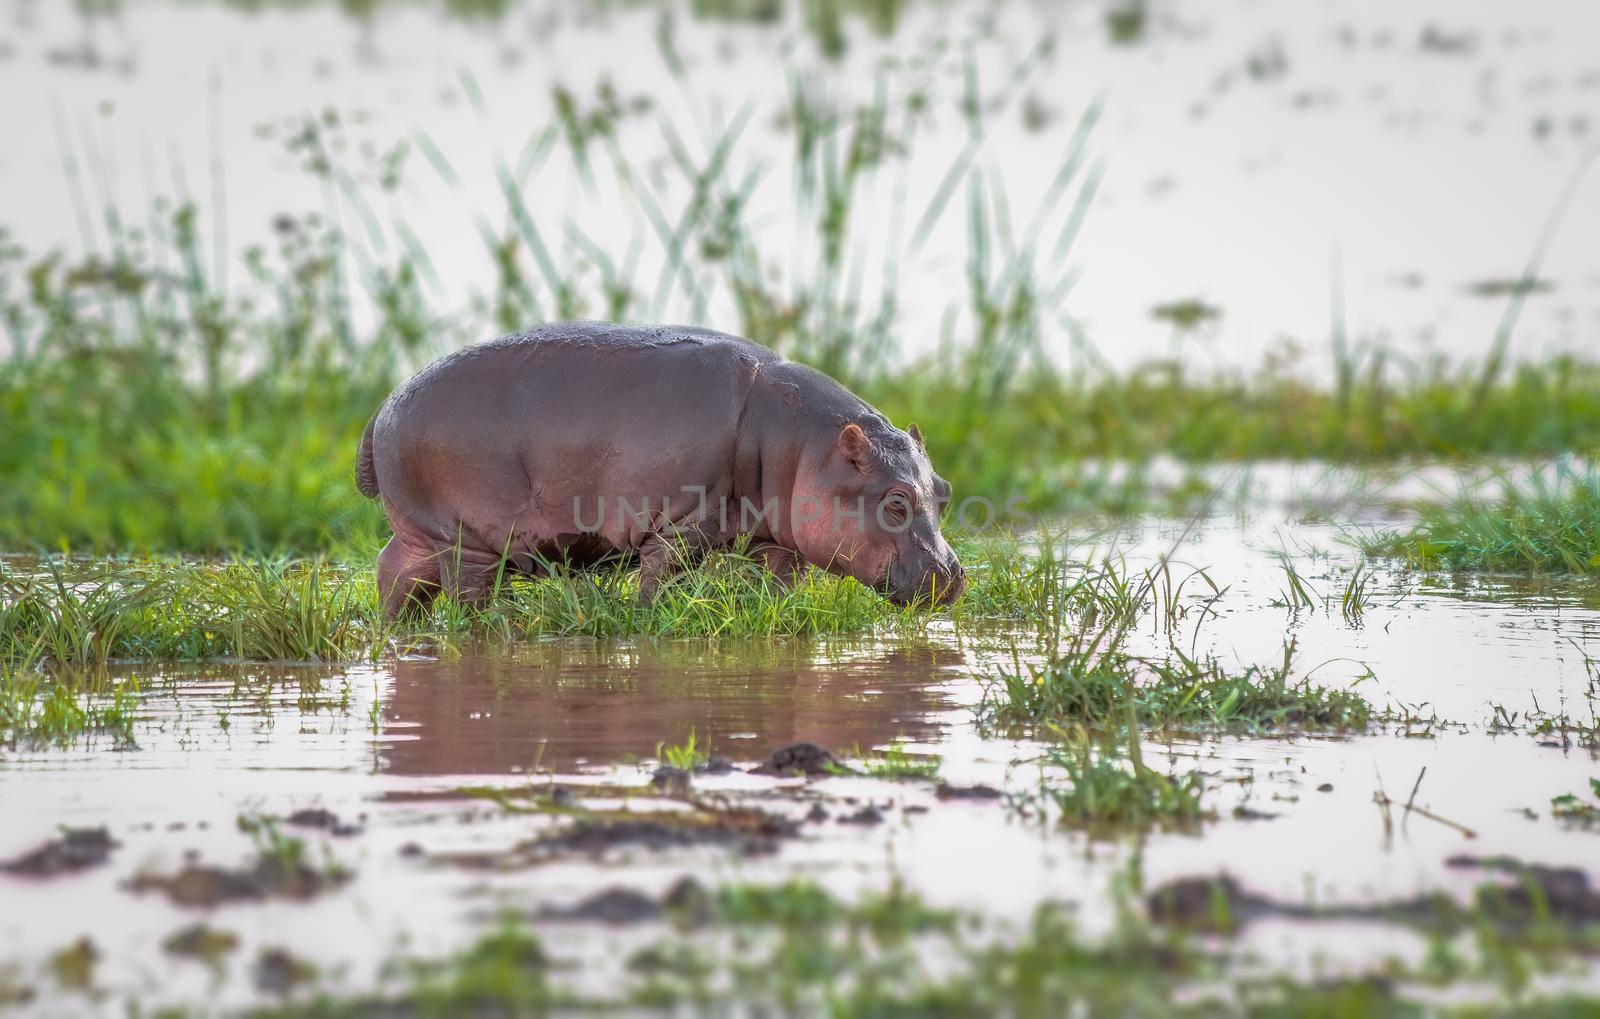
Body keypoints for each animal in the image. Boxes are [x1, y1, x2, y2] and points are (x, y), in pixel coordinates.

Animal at [356, 321, 966, 617]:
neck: (802, 444)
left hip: (420, 535)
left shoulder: (777, 540)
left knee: (395, 577)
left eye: (943, 490)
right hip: (467, 540)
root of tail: (382, 408)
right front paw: (649, 618)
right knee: (466, 598)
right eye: (895, 500)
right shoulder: (677, 525)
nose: (954, 576)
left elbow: (776, 588)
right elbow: (657, 583)